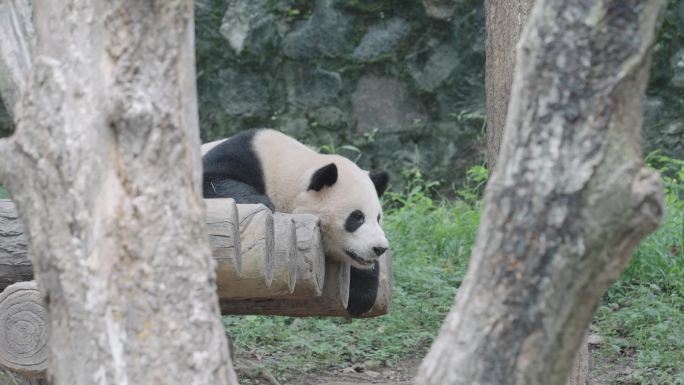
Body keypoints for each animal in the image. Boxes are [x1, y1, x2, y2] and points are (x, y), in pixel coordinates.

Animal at [200, 129, 388, 316]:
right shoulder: (245, 154)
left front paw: (360, 295)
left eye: (378, 218)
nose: (380, 248)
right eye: (357, 217)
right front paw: (262, 202)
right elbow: (210, 180)